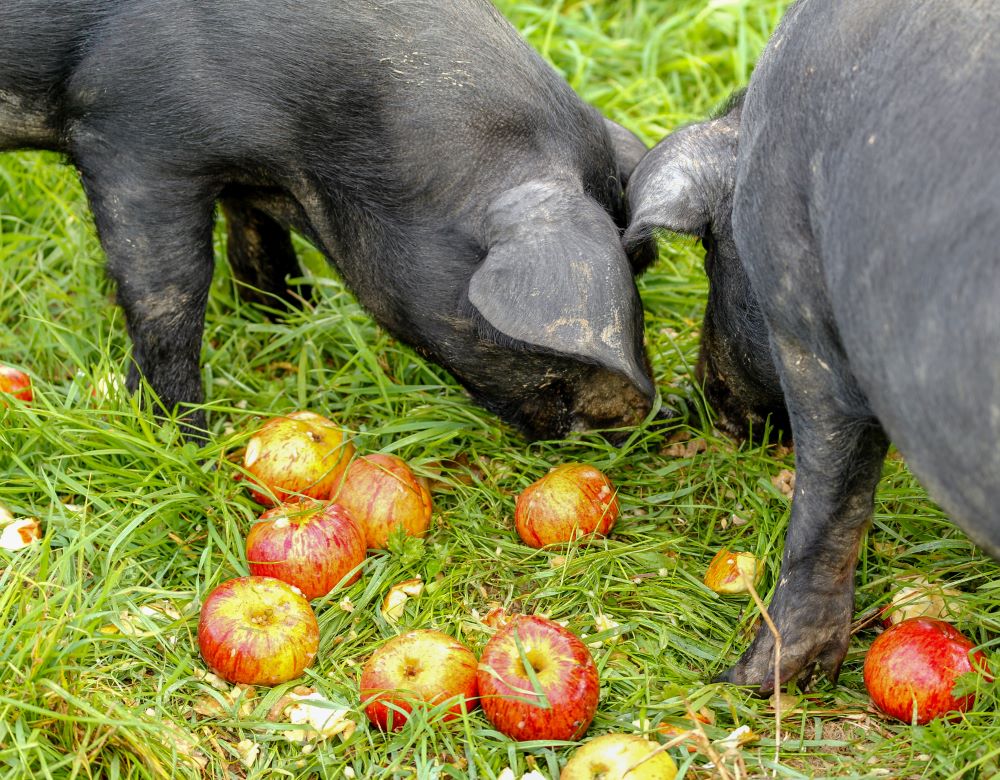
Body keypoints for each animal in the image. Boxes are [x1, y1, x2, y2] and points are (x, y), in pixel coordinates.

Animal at [0, 0, 656, 438]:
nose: (636, 416)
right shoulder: (132, 141)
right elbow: (172, 295)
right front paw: (186, 437)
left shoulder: (245, 173)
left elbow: (255, 239)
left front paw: (286, 317)